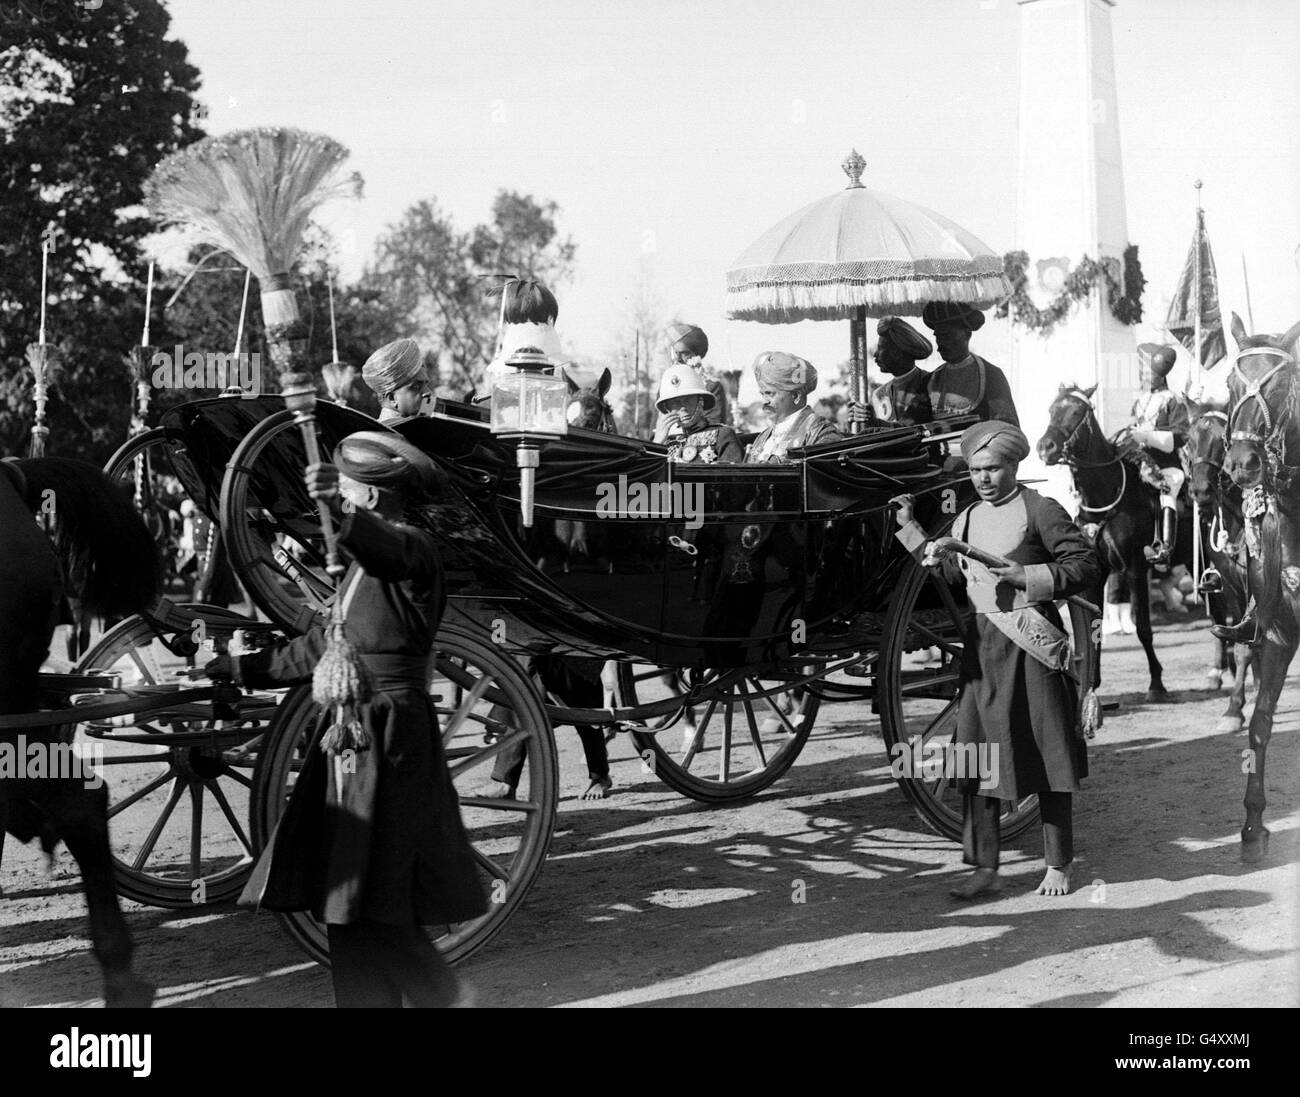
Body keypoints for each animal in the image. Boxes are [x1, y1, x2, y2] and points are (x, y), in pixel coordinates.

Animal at [1034, 382, 1190, 696]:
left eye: (1077, 411)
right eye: (1052, 409)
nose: (1046, 447)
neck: (1106, 499)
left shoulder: (1135, 569)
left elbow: (1143, 628)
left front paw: (1156, 683)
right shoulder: (1094, 576)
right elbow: (1093, 629)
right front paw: (1092, 685)